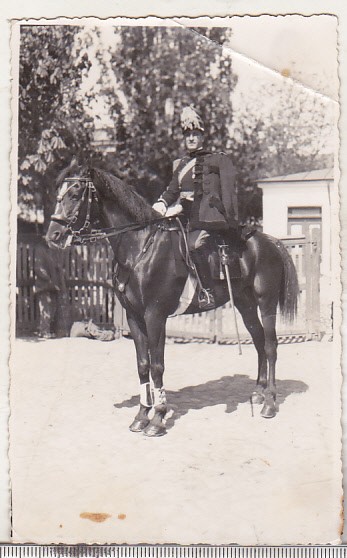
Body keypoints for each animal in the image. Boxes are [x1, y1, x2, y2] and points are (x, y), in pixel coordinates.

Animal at [47, 168, 300, 440]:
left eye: (75, 194)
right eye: (59, 192)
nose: (53, 235)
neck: (139, 247)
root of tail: (270, 241)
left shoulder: (155, 316)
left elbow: (157, 367)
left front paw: (157, 418)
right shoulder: (134, 317)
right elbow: (143, 365)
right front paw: (141, 416)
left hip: (266, 304)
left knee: (271, 346)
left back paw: (269, 402)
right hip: (245, 305)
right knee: (259, 343)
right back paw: (257, 393)